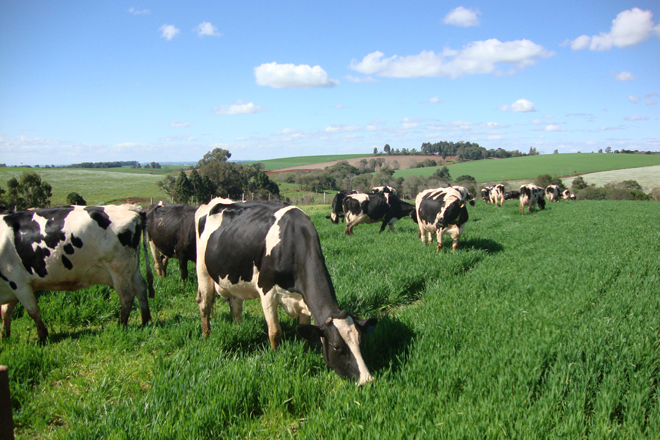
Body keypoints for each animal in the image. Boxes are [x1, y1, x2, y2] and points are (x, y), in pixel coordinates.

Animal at [0, 205, 153, 342]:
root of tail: (128, 207)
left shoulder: (19, 283)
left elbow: (32, 311)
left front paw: (42, 337)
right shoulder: (12, 286)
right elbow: (6, 312)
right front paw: (5, 336)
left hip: (118, 269)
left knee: (127, 296)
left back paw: (121, 325)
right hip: (132, 268)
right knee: (141, 288)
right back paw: (146, 321)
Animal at [195, 198, 376, 384]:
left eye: (361, 341)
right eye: (336, 347)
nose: (367, 380)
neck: (292, 243)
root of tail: (216, 202)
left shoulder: (303, 301)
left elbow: (305, 332)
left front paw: (307, 352)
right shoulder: (267, 291)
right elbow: (275, 332)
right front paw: (275, 357)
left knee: (236, 307)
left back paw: (238, 330)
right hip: (202, 270)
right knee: (204, 304)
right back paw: (207, 335)